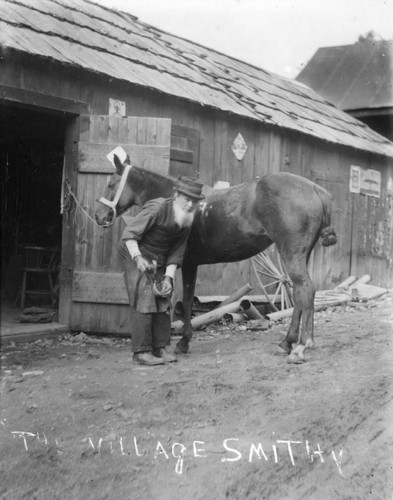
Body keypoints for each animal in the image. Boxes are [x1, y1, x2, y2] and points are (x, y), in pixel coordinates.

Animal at [95, 153, 336, 364]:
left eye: (111, 183)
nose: (99, 216)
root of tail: (314, 188)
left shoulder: (188, 265)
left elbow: (187, 301)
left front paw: (183, 343)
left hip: (291, 256)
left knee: (305, 290)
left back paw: (300, 346)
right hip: (301, 256)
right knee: (300, 293)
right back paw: (287, 343)